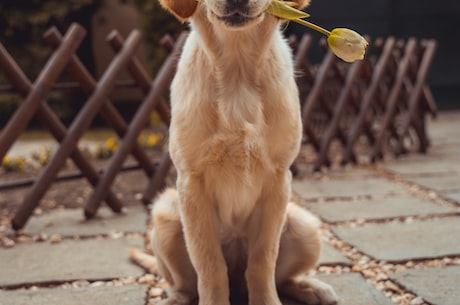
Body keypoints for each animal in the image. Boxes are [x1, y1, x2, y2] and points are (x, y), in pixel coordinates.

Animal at [130, 0, 338, 304]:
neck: (237, 69)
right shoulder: (191, 182)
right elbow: (209, 265)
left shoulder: (278, 180)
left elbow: (263, 261)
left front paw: (267, 301)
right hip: (166, 215)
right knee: (186, 285)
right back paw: (175, 298)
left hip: (305, 226)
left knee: (280, 278)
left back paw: (312, 288)